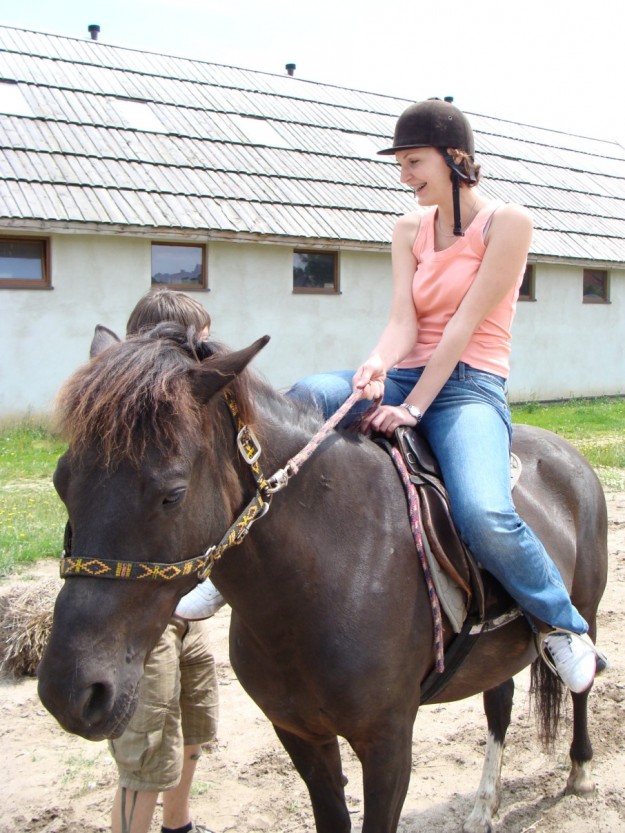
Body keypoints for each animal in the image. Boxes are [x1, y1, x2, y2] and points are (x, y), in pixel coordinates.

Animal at [38, 323, 608, 833]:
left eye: (172, 494)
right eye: (61, 482)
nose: (71, 692)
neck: (327, 576)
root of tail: (566, 453)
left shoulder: (388, 743)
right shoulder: (299, 734)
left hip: (587, 609)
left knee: (579, 683)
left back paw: (580, 767)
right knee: (498, 704)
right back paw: (484, 807)